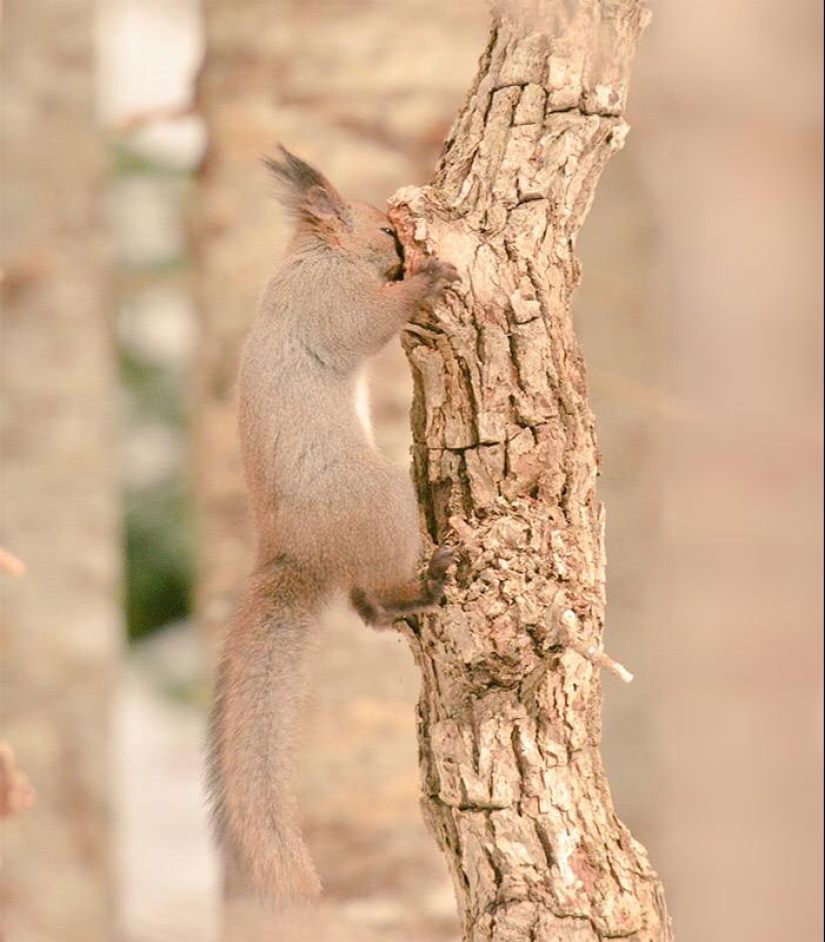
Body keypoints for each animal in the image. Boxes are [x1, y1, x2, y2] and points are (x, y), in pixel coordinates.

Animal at [206, 148, 460, 908]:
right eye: (383, 227)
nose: (407, 250)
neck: (315, 252)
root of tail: (295, 552)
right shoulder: (330, 300)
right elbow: (364, 326)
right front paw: (426, 284)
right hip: (380, 501)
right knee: (378, 595)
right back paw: (425, 585)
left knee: (363, 605)